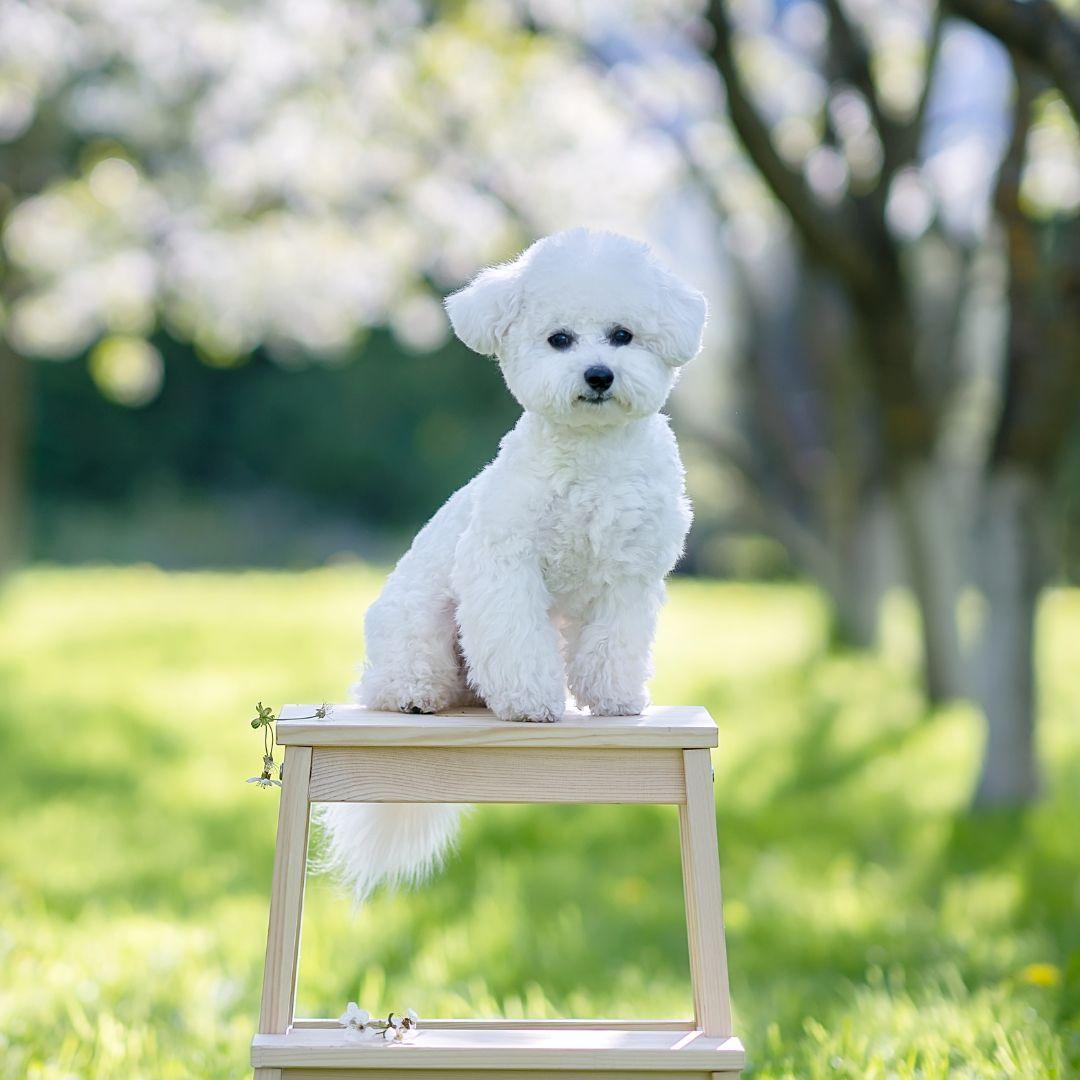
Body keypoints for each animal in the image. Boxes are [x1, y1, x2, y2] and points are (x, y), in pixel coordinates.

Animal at [317, 225, 708, 894]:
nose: (599, 374)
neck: (591, 456)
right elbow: (516, 641)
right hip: (417, 620)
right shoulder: (504, 564)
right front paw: (530, 704)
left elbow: (614, 645)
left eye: (623, 335)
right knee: (391, 681)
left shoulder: (629, 576)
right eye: (559, 339)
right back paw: (416, 695)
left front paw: (614, 699)